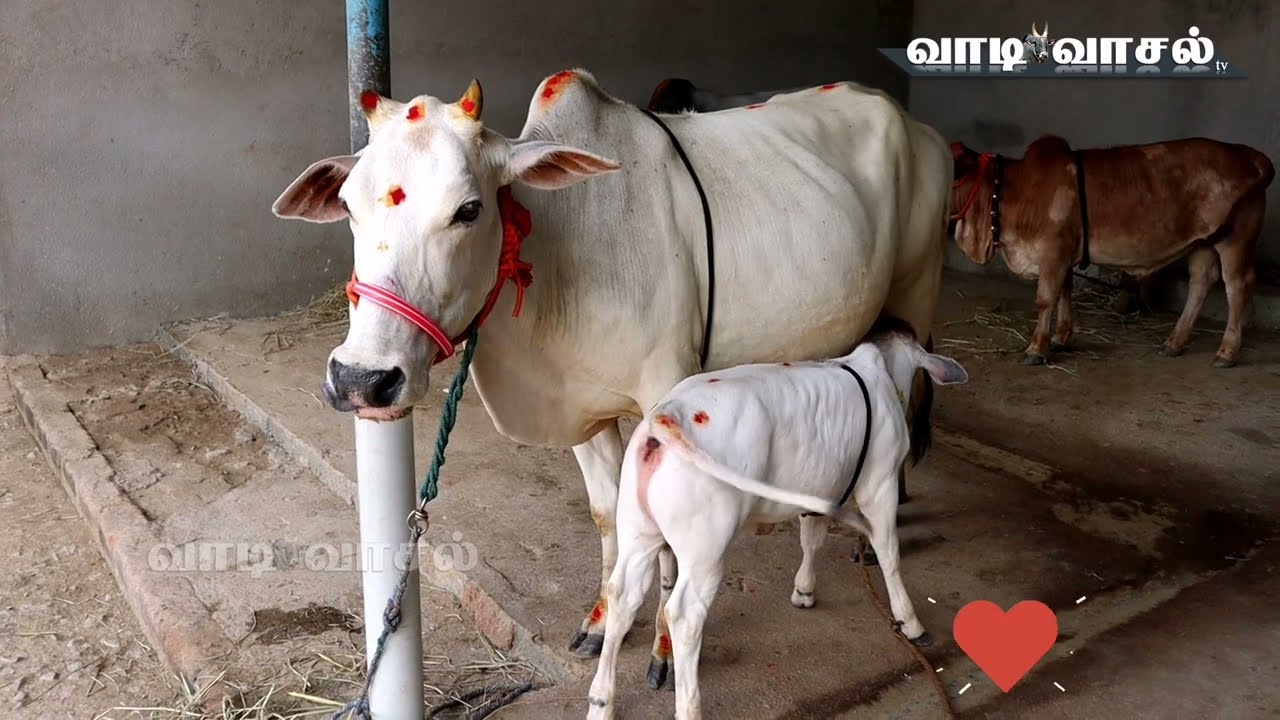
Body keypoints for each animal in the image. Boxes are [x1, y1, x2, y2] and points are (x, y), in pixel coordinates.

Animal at [270, 68, 953, 675]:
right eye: (349, 206)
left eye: (468, 209)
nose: (362, 379)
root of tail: (919, 125)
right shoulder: (580, 409)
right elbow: (608, 517)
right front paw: (602, 622)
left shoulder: (667, 394)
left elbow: (666, 541)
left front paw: (665, 651)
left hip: (918, 293)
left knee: (907, 393)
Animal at [585, 318, 969, 719]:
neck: (878, 372)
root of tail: (666, 416)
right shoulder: (880, 484)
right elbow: (889, 552)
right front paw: (911, 622)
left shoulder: (822, 488)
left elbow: (812, 537)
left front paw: (804, 591)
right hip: (705, 546)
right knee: (684, 616)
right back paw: (688, 707)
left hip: (637, 529)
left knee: (622, 594)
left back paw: (601, 702)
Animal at [949, 135, 1274, 367]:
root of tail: (1247, 153)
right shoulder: (1065, 254)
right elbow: (1065, 292)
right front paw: (1061, 338)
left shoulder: (1054, 251)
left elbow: (1045, 299)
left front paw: (1036, 348)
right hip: (1203, 242)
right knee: (1201, 282)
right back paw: (1174, 343)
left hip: (1235, 239)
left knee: (1237, 286)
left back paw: (1227, 352)